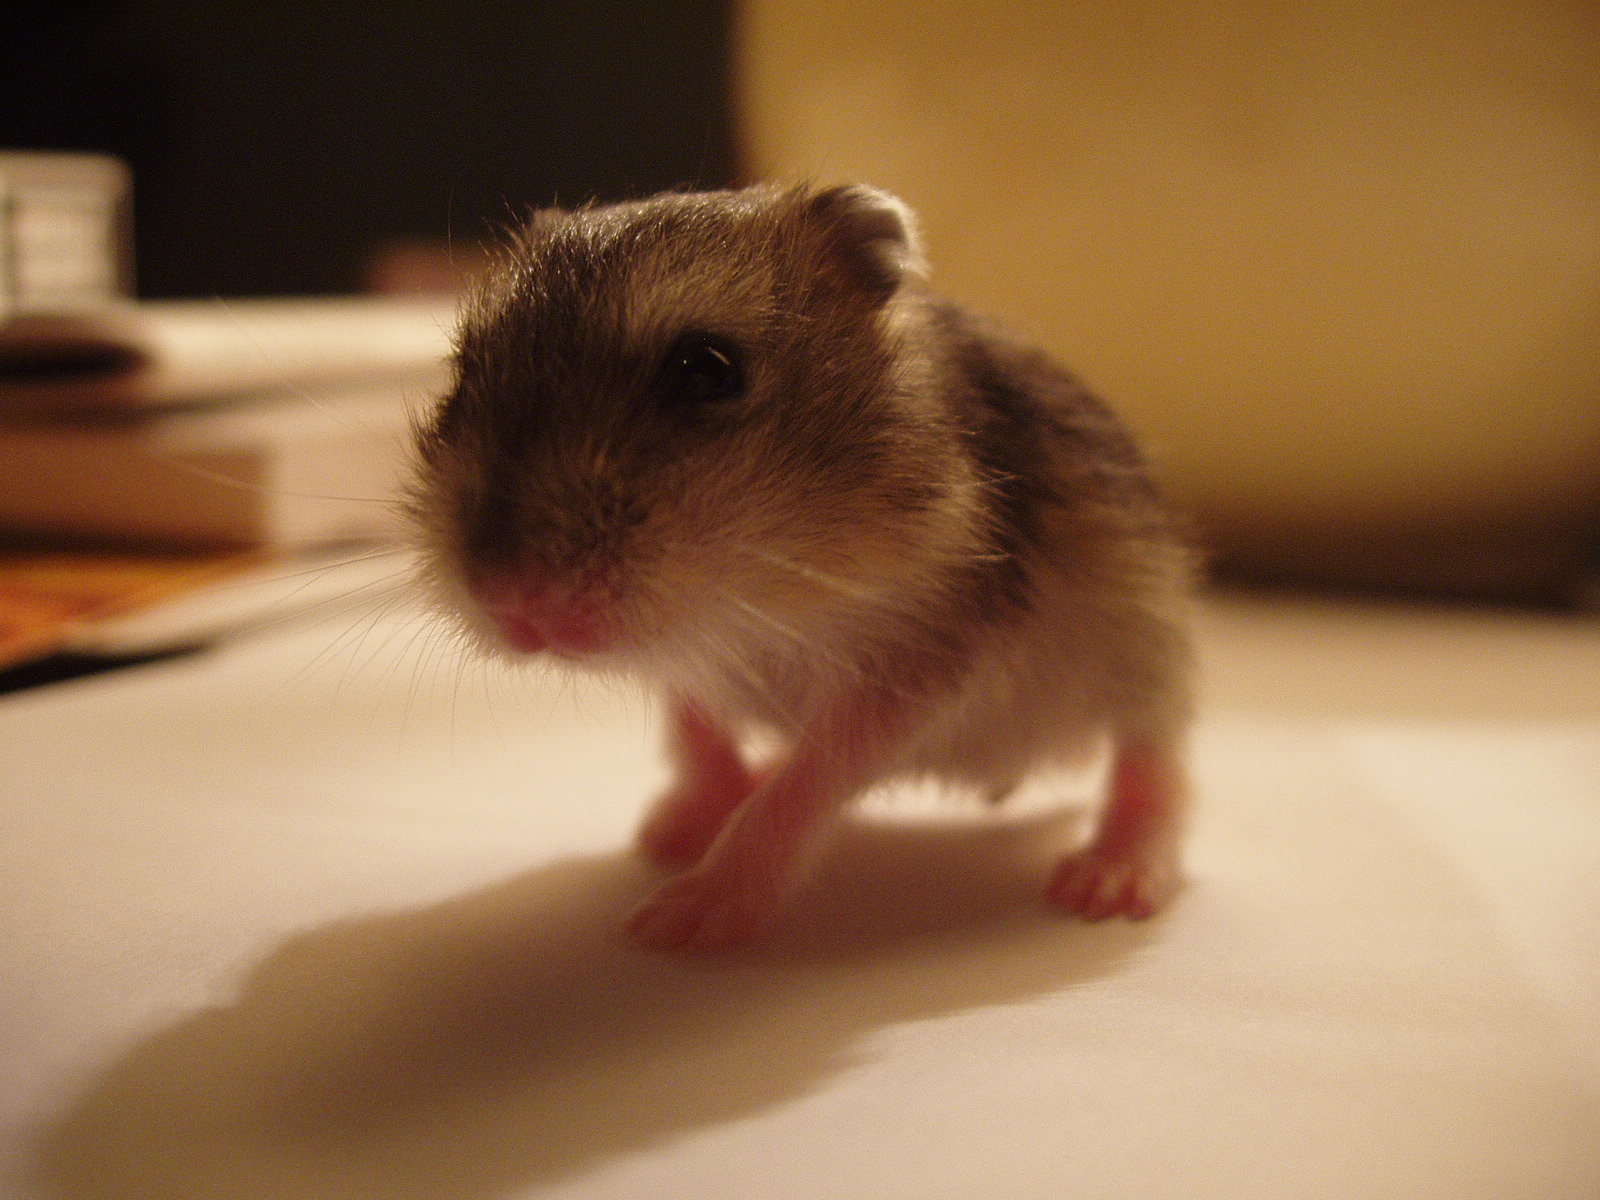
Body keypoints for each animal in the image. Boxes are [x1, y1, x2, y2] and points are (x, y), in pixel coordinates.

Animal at [409, 183, 1198, 951]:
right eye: (464, 369)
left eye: (706, 370)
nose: (508, 600)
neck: (767, 606)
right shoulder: (691, 665)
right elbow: (697, 735)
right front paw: (664, 837)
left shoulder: (916, 669)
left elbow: (806, 787)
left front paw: (674, 921)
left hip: (1144, 644)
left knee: (1153, 762)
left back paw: (1106, 885)